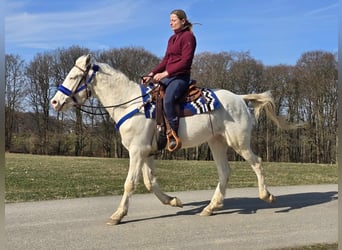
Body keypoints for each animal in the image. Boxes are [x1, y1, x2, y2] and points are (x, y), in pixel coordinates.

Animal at [50, 54, 286, 225]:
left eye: (73, 77)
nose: (54, 102)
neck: (131, 104)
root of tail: (239, 97)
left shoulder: (137, 151)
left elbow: (130, 183)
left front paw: (118, 214)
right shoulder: (146, 152)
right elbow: (149, 182)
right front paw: (173, 201)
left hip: (239, 142)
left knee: (257, 163)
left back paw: (266, 196)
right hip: (216, 142)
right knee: (224, 172)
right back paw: (211, 207)